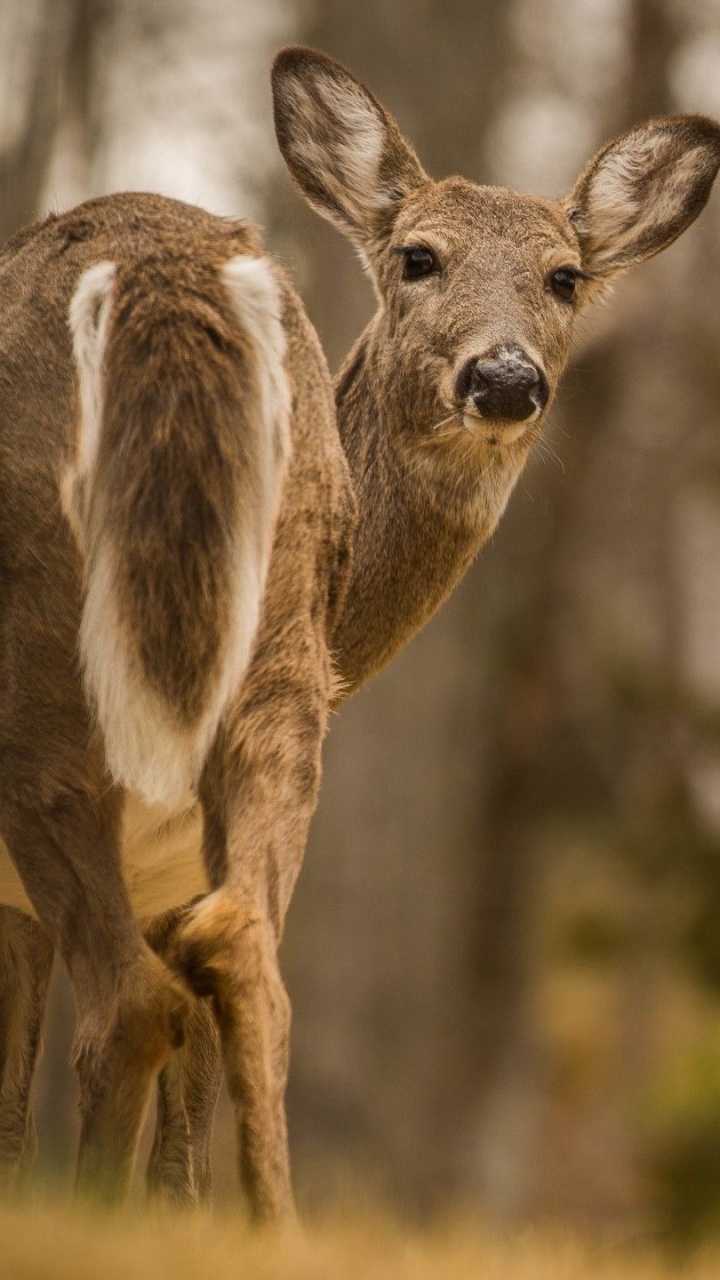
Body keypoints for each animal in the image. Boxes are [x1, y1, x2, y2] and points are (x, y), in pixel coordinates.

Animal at [0, 42, 712, 1218]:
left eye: (564, 276)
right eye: (418, 256)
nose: (505, 376)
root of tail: (165, 274)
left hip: (47, 678)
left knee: (135, 1002)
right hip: (271, 658)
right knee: (235, 952)